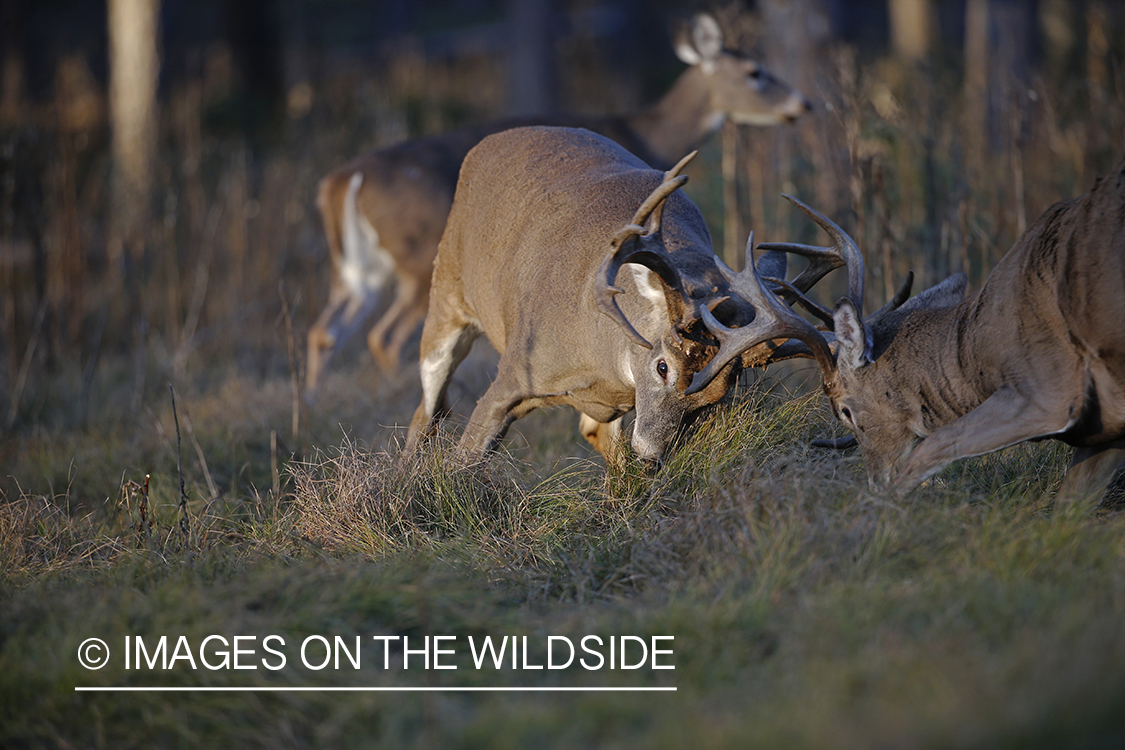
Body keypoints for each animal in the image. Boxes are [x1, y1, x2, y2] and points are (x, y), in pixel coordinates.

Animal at [308, 11, 810, 395]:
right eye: (755, 72)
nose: (802, 104)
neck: (644, 133)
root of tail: (341, 180)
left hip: (354, 273)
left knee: (324, 331)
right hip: (414, 260)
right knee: (385, 336)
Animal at [402, 128, 850, 465]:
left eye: (716, 395)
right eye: (662, 367)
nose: (651, 455)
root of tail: (490, 142)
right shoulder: (514, 373)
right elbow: (465, 459)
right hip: (446, 299)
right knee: (425, 411)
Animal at [724, 160, 1125, 503]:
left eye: (845, 411)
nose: (875, 479)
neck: (976, 350)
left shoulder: (1046, 387)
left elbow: (932, 449)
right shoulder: (1103, 426)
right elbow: (1070, 507)